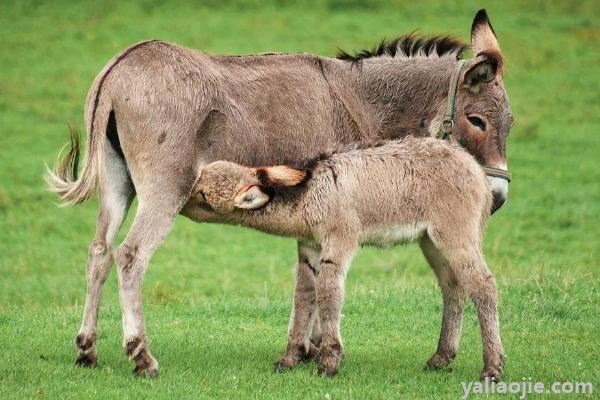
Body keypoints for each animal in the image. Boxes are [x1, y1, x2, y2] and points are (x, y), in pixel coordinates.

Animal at [185, 137, 504, 378]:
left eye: (202, 195)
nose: (181, 198)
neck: (311, 194)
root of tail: (475, 168)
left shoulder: (338, 242)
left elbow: (328, 294)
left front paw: (329, 362)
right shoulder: (309, 248)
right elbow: (304, 296)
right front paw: (289, 359)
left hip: (455, 235)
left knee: (483, 286)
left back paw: (492, 367)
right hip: (432, 242)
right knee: (454, 287)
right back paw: (441, 357)